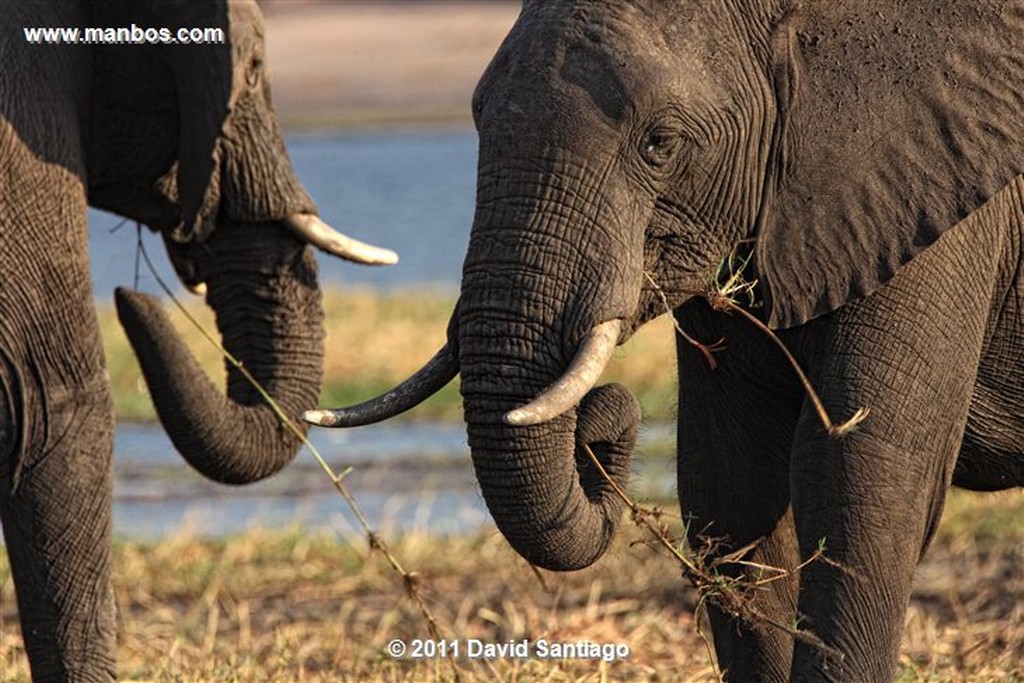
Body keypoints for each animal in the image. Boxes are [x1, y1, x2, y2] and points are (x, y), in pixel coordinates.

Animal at [307, 1, 1024, 683]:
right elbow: (728, 476)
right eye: (478, 123)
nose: (602, 414)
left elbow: (859, 470)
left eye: (661, 143)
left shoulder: (934, 188)